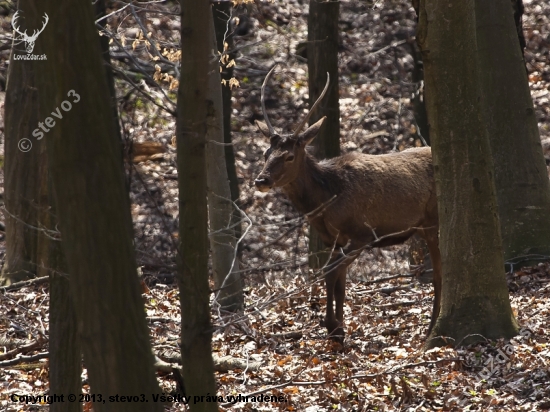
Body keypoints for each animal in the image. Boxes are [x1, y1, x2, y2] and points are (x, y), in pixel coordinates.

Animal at [256, 67, 444, 342]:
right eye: (266, 154)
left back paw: (431, 331)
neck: (327, 199)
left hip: (432, 221)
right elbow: (340, 284)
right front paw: (340, 328)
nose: (261, 180)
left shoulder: (363, 233)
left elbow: (329, 271)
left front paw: (333, 327)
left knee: (440, 274)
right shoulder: (335, 240)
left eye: (289, 156)